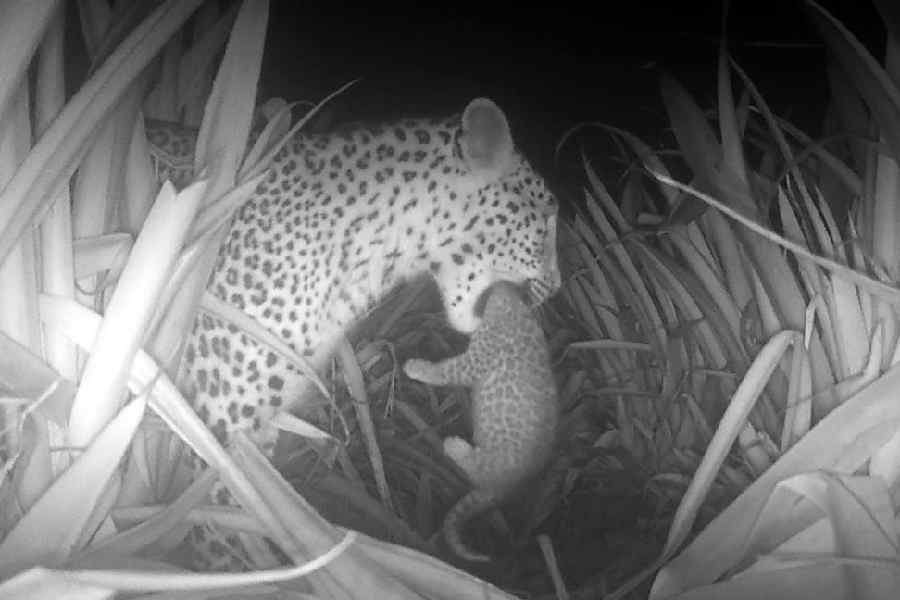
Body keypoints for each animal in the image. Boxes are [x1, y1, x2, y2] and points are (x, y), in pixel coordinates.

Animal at [403, 280, 558, 562]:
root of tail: (505, 489)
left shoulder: (473, 362)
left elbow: (443, 371)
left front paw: (416, 367)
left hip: (497, 457)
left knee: (475, 464)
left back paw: (453, 445)